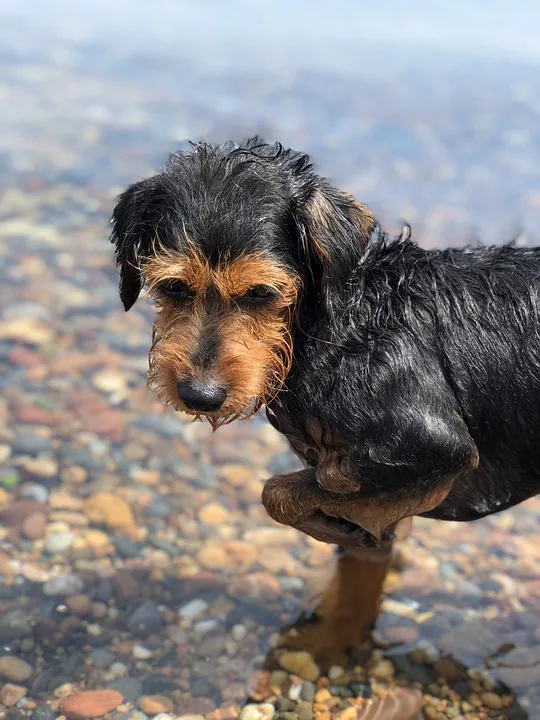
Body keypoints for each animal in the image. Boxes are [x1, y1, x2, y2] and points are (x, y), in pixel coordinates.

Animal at [108, 136, 540, 552]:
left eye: (260, 292)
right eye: (173, 286)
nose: (200, 396)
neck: (331, 329)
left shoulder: (433, 444)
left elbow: (288, 489)